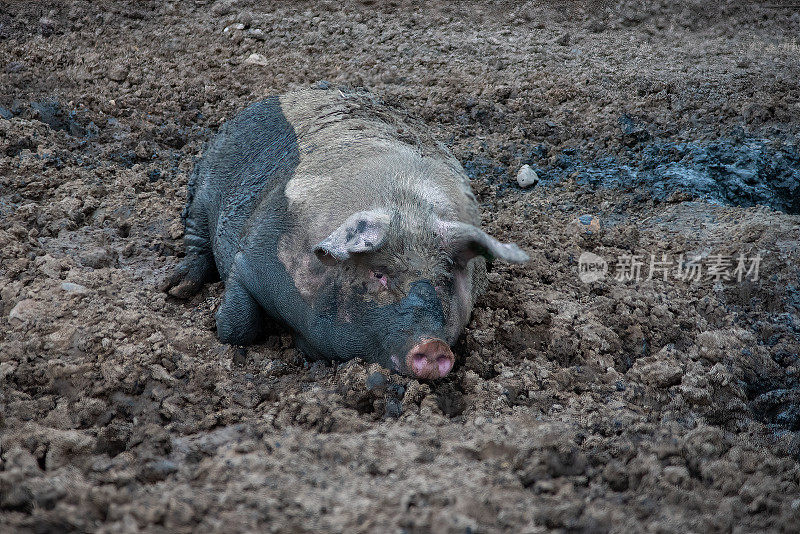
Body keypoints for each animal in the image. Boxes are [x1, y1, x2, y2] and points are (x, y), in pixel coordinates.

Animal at [162, 89, 528, 382]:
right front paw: (222, 332)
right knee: (195, 233)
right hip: (203, 185)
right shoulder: (250, 260)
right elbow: (239, 325)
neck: (405, 208)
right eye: (379, 275)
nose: (433, 345)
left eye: (446, 279)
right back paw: (175, 288)